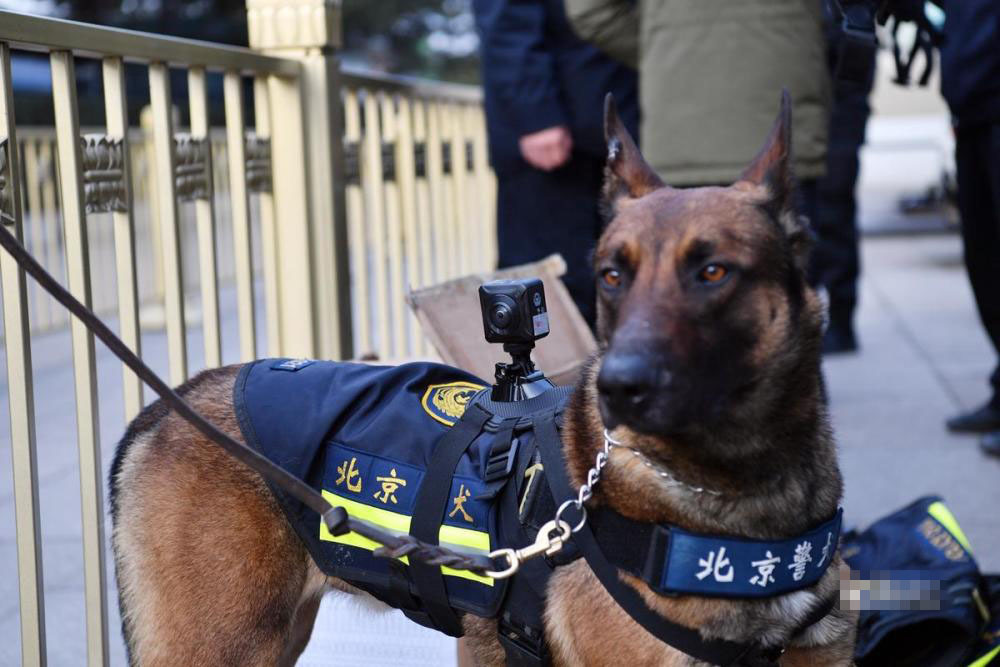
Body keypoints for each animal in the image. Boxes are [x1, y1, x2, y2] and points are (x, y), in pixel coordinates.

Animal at [111, 91, 860, 664]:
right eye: (612, 274)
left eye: (712, 272)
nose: (616, 387)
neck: (743, 493)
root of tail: (171, 401)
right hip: (224, 645)